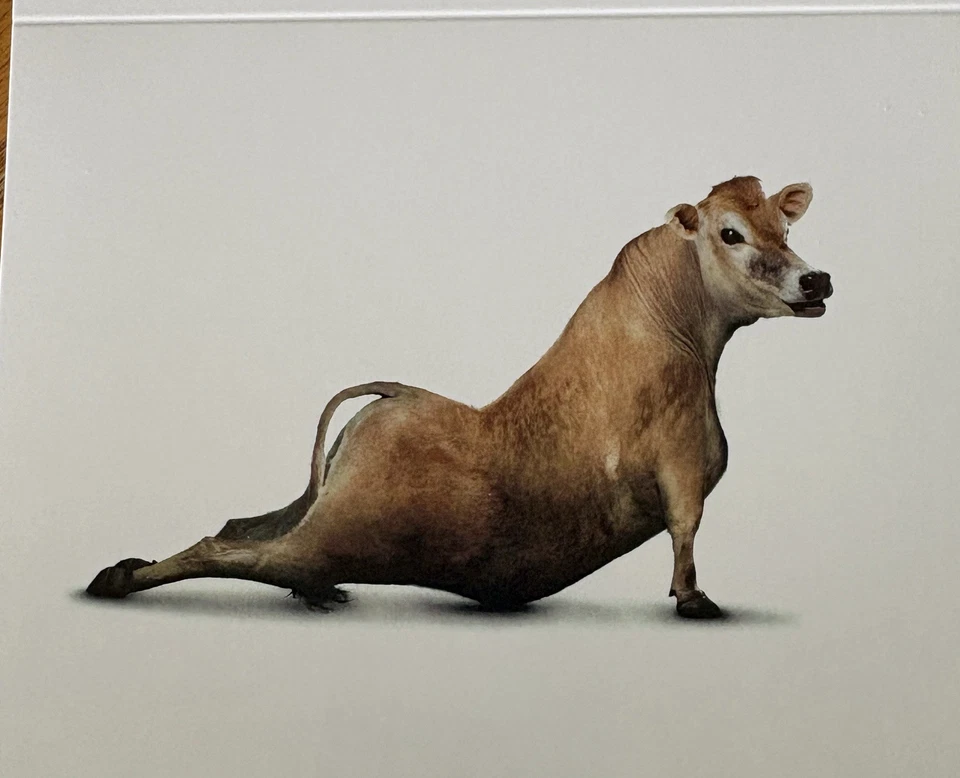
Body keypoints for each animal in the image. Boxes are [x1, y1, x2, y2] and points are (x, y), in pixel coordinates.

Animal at [86, 176, 832, 619]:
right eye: (730, 231)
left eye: (786, 228)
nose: (816, 280)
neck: (678, 334)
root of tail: (394, 393)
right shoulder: (681, 467)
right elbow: (686, 530)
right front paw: (695, 600)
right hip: (338, 533)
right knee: (226, 548)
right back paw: (118, 578)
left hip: (317, 515)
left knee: (242, 527)